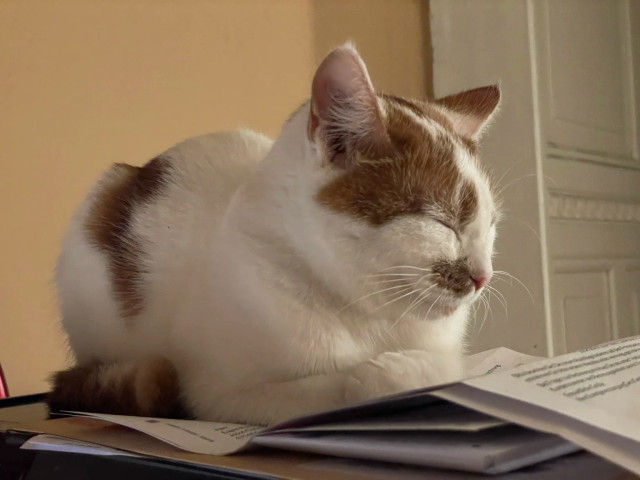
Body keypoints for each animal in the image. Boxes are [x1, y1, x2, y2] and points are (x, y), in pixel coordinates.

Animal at [48, 43, 500, 426]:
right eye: (442, 221)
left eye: (490, 225)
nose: (483, 277)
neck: (371, 315)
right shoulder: (219, 392)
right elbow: (336, 386)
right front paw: (378, 375)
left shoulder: (451, 351)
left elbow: (452, 366)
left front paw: (403, 367)